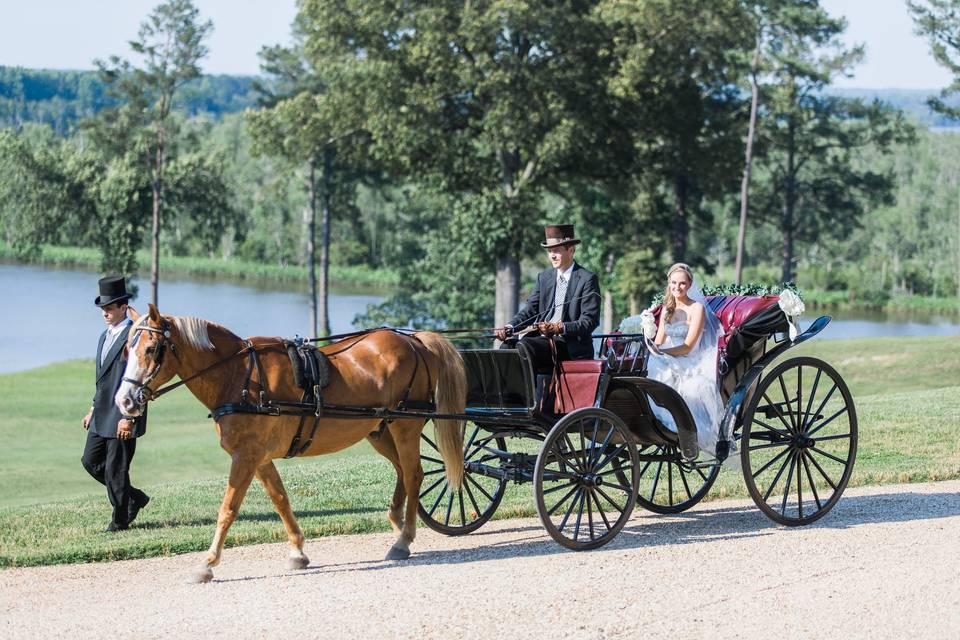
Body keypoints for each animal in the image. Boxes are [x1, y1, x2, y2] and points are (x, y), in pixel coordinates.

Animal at [112, 302, 464, 584]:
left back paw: (404, 539)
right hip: (380, 430)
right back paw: (398, 525)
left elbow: (228, 509)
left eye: (151, 349)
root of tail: (414, 340)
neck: (239, 376)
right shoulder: (259, 457)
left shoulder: (246, 456)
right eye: (127, 349)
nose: (124, 400)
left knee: (414, 474)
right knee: (403, 472)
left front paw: (208, 563)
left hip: (405, 425)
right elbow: (280, 499)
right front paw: (297, 550)